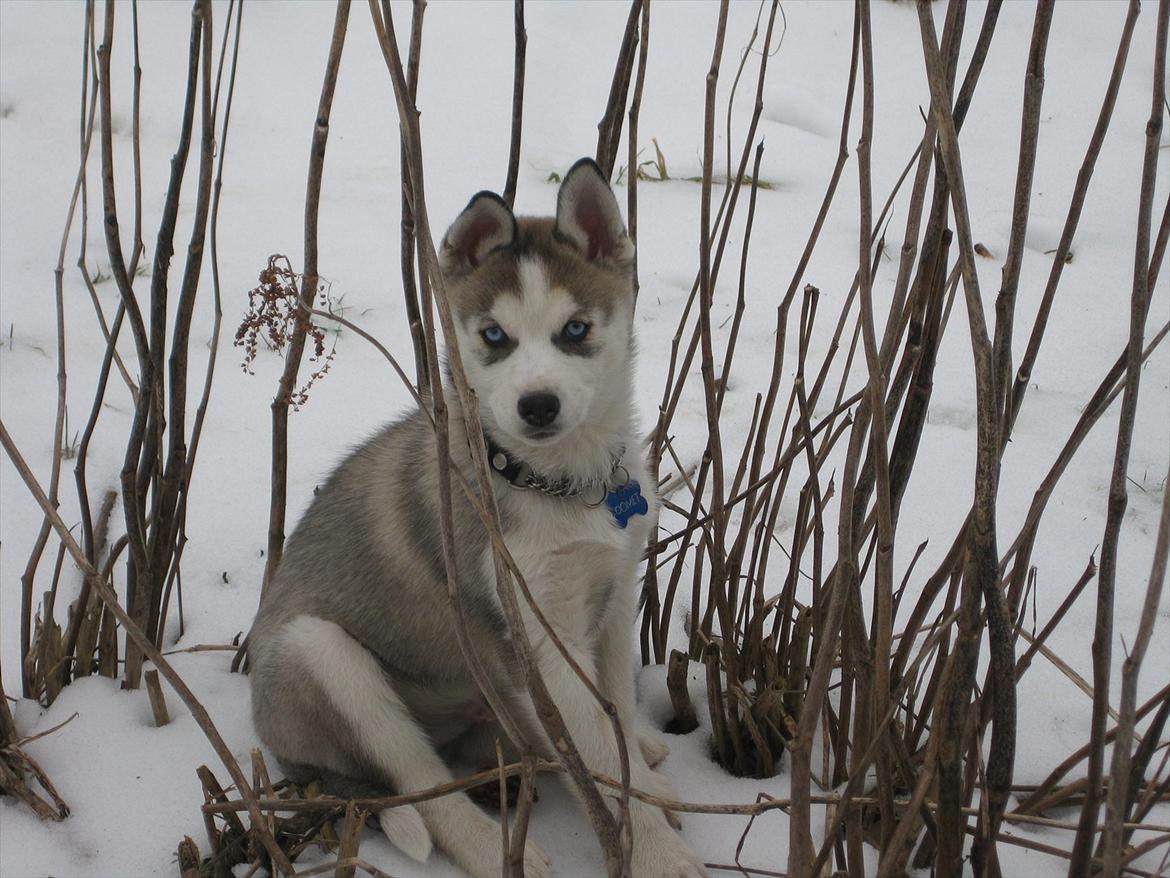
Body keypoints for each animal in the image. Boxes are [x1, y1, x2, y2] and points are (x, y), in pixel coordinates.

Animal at [246, 160, 702, 878]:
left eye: (576, 330)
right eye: (494, 336)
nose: (537, 405)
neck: (560, 486)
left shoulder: (612, 597)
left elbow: (616, 719)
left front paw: (645, 772)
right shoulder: (538, 640)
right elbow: (601, 760)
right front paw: (659, 853)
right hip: (321, 656)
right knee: (421, 786)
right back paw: (495, 849)